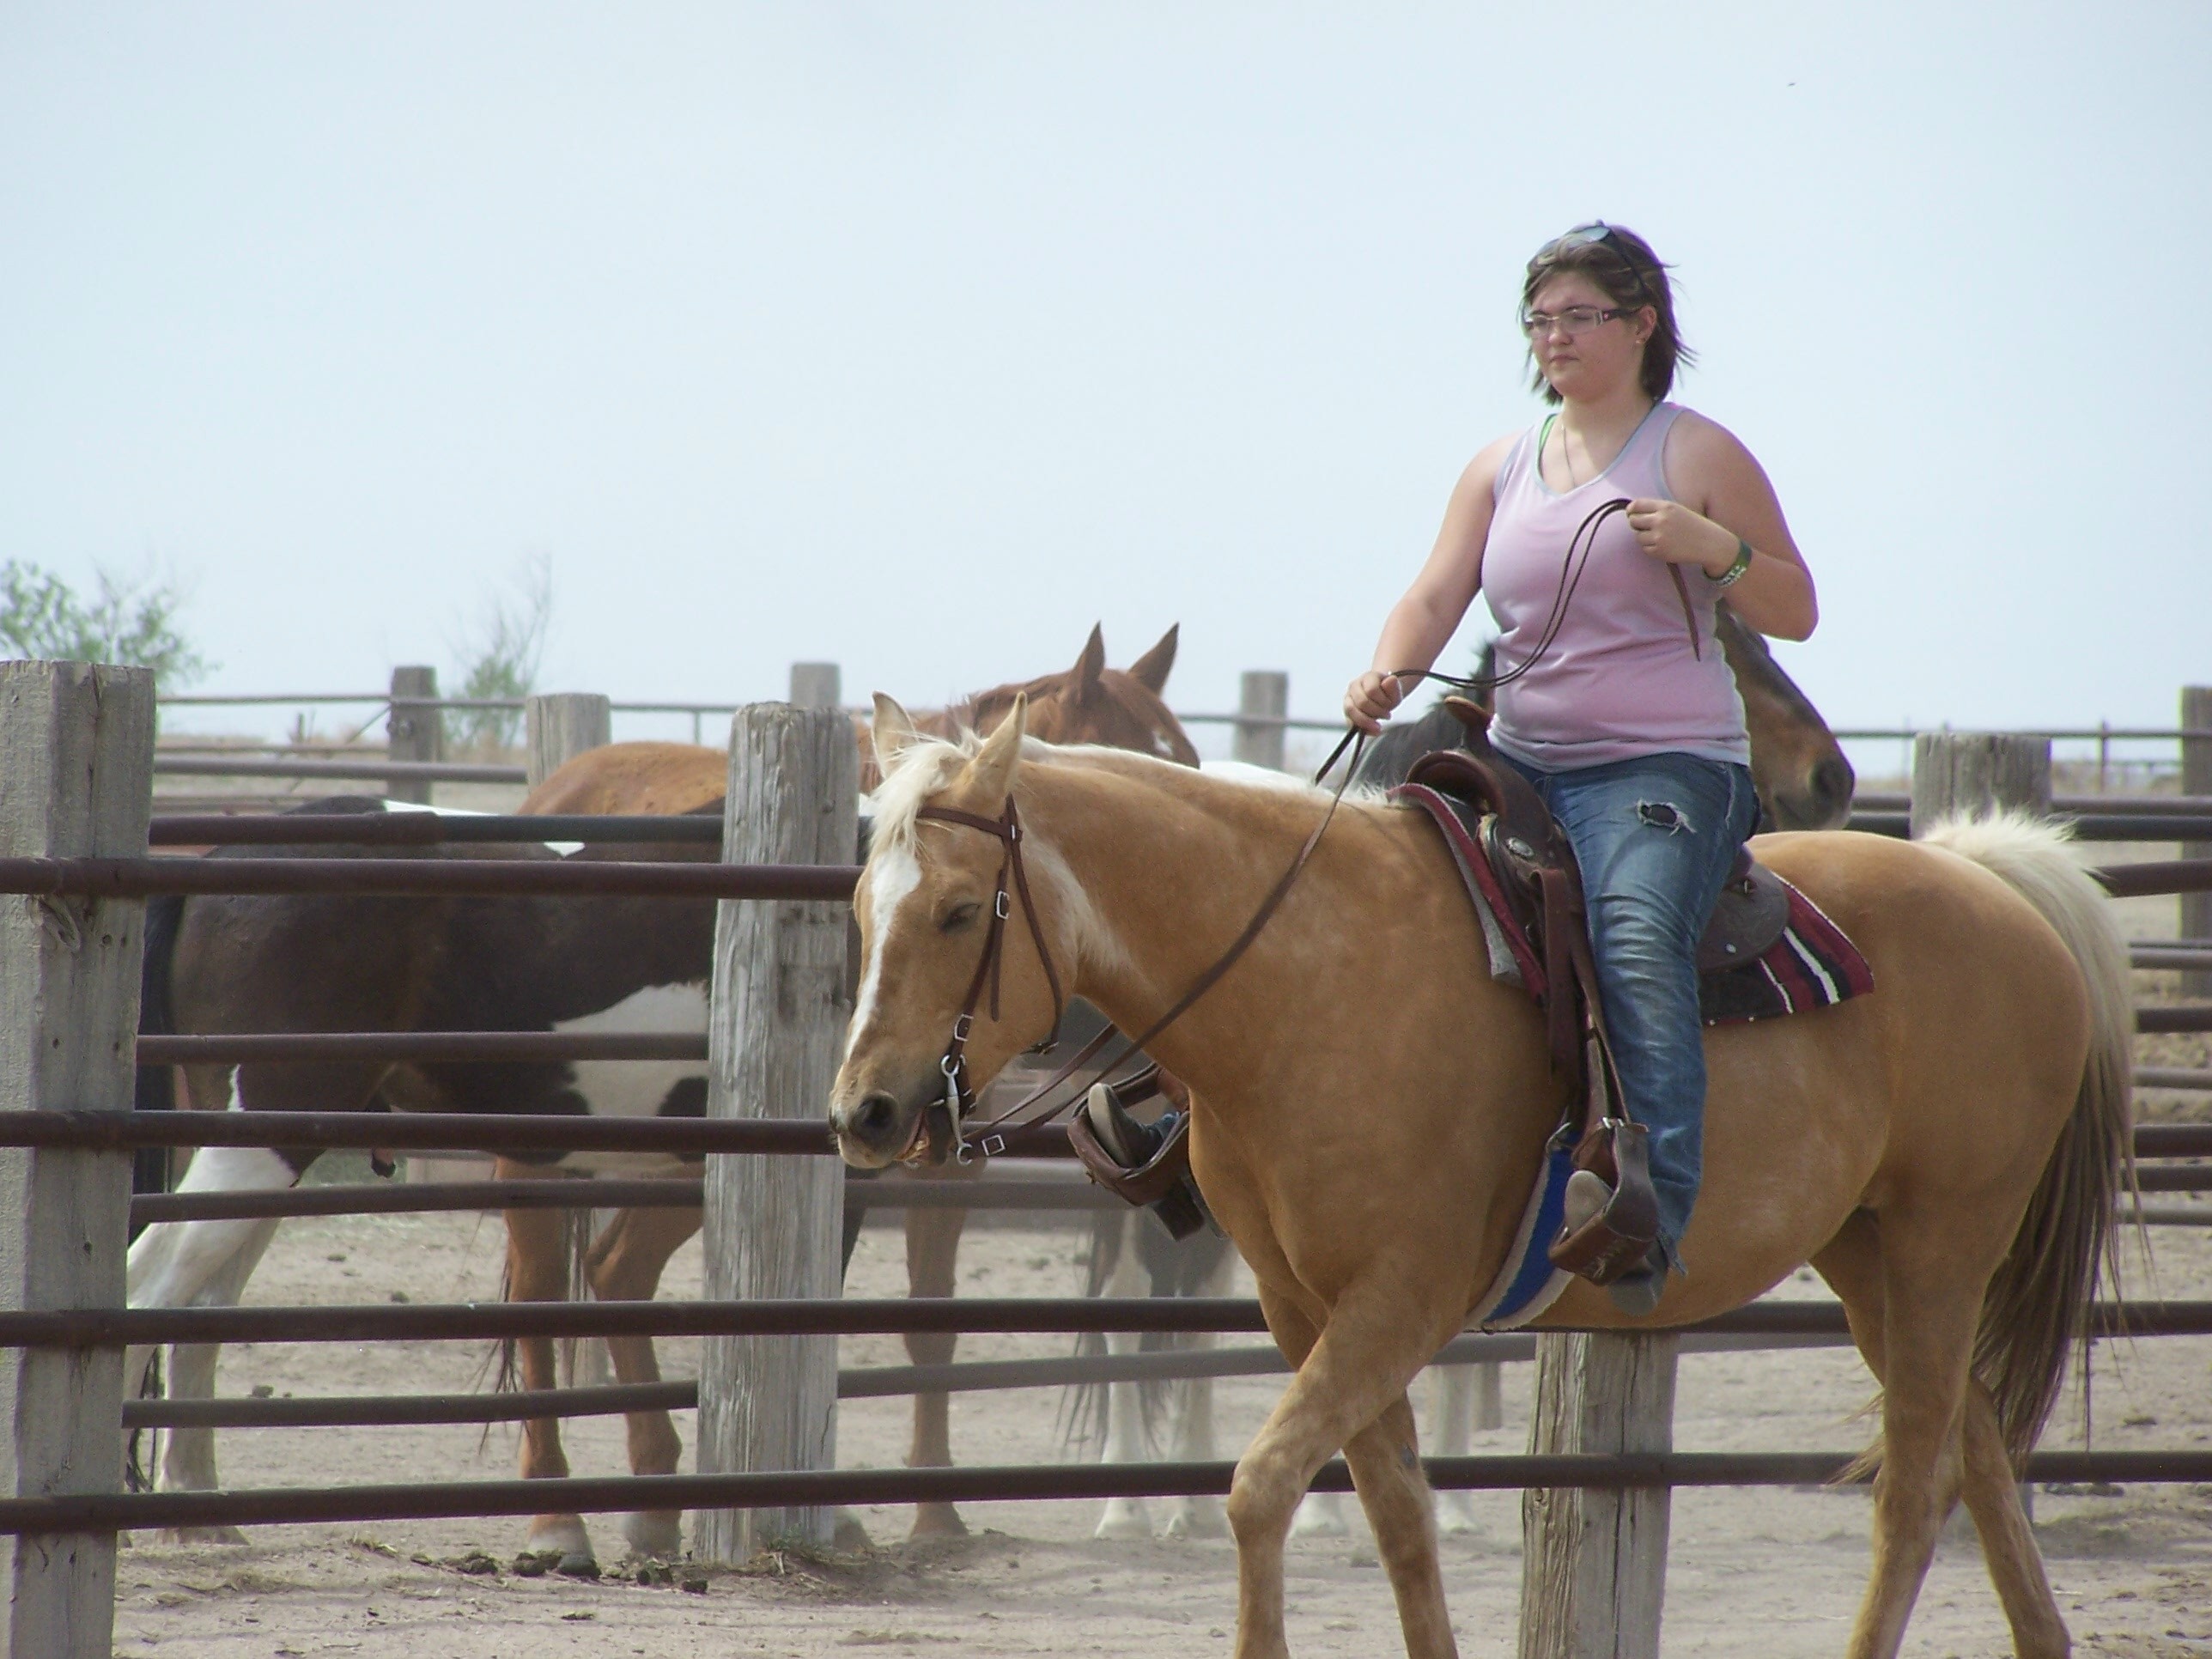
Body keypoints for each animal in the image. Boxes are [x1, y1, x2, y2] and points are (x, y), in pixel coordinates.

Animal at [831, 703, 2123, 1659]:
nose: (864, 1112)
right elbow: (1400, 1520)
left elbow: (1261, 1488)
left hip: (1946, 1243)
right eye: (858, 906)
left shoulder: (1402, 1297)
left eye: (959, 910)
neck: (1306, 978)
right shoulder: (1307, 1306)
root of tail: (1991, 884)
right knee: (1979, 1459)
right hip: (1872, 1261)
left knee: (1913, 1492)